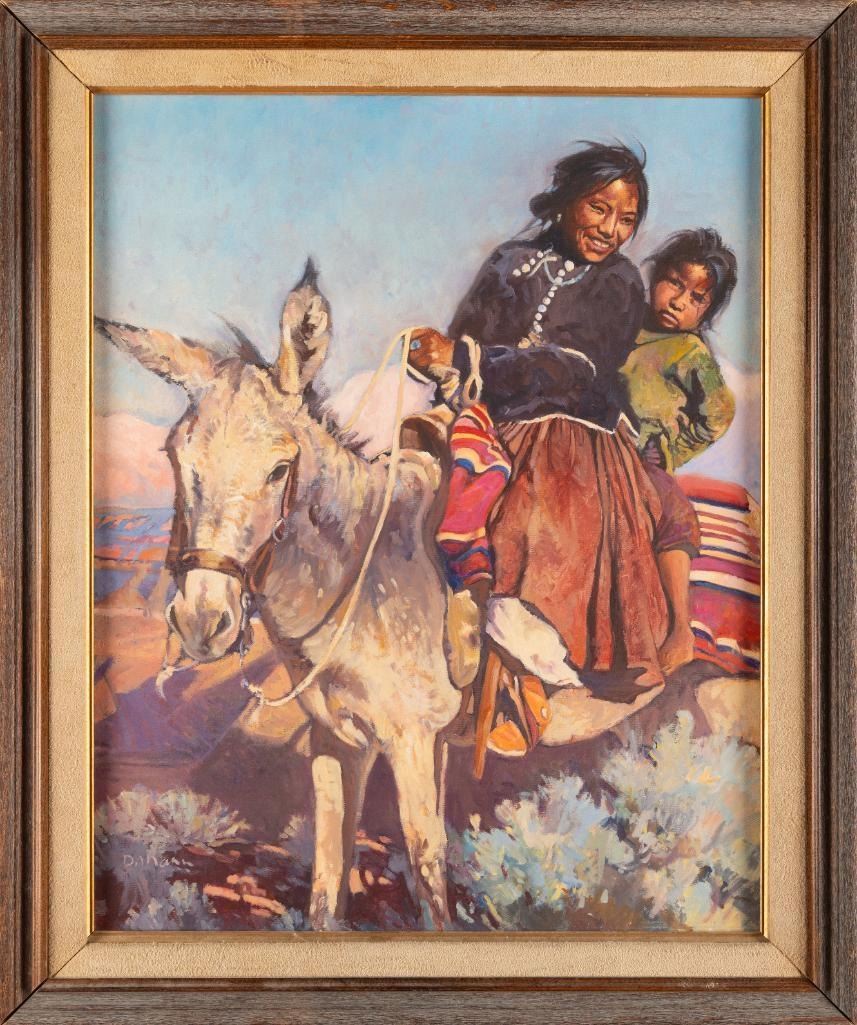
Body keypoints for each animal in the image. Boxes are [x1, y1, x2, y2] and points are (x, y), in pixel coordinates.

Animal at [95, 260, 736, 930]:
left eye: (278, 469)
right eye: (176, 457)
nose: (203, 620)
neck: (364, 576)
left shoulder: (413, 740)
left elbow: (427, 867)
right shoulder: (339, 742)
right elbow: (328, 877)